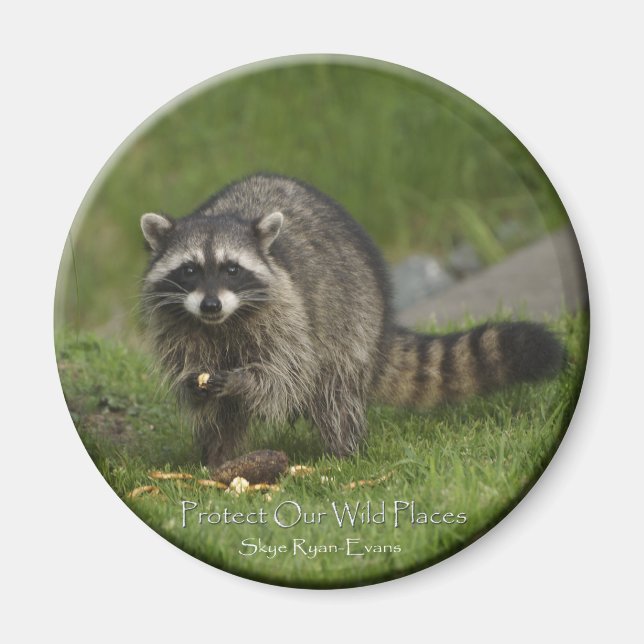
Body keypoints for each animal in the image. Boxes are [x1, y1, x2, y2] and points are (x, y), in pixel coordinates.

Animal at [140, 174, 564, 468]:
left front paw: (244, 380)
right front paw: (194, 386)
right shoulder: (176, 323)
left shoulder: (288, 312)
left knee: (334, 391)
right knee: (222, 415)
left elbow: (286, 374)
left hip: (352, 322)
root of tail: (381, 325)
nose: (211, 305)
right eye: (190, 270)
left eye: (232, 268)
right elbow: (191, 376)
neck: (221, 324)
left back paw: (343, 453)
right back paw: (219, 458)